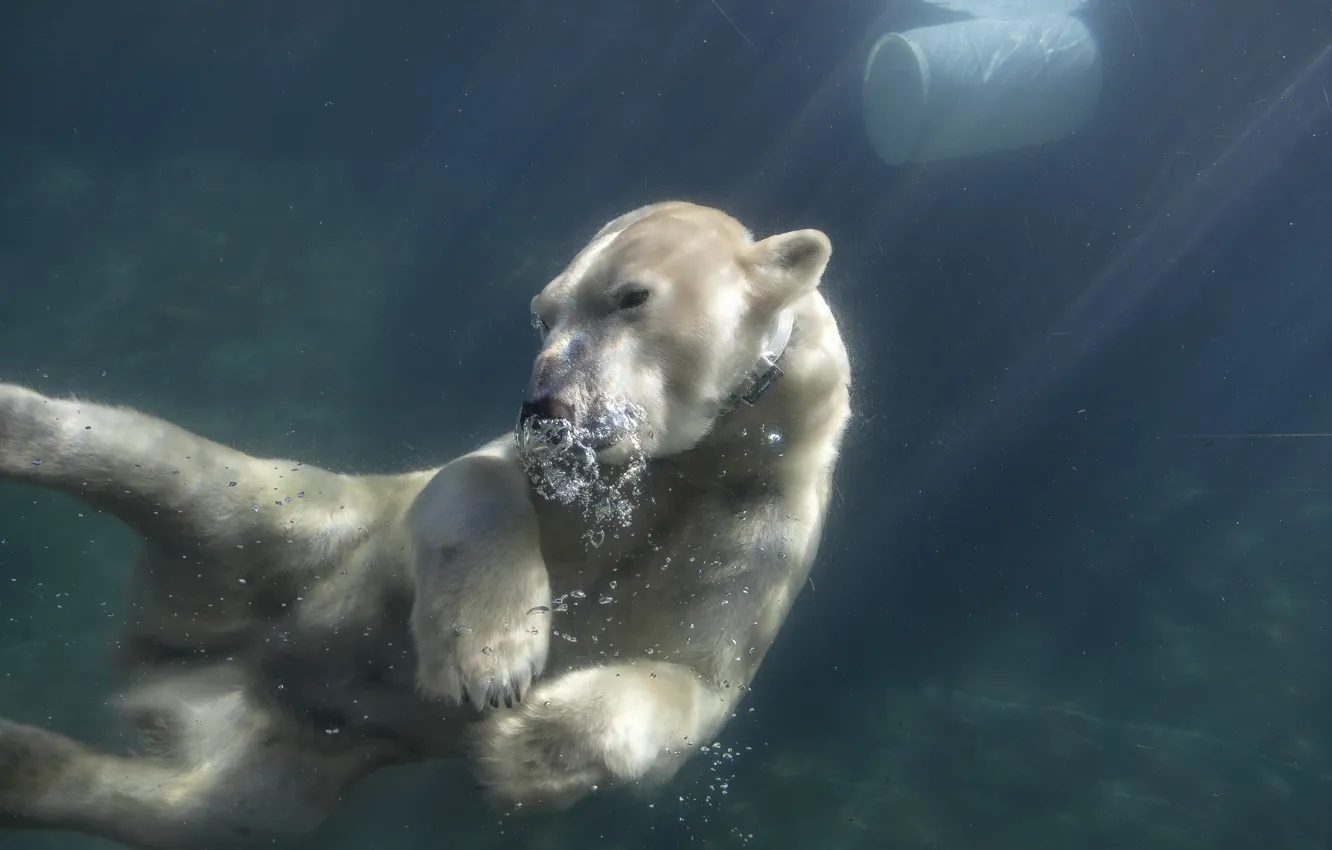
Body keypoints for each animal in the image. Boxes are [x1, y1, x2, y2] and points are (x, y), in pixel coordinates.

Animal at [0, 200, 852, 850]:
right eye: (542, 315)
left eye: (631, 297)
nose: (545, 407)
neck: (689, 471)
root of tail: (173, 655)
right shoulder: (536, 479)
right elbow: (470, 480)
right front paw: (493, 662)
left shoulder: (754, 536)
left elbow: (689, 686)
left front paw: (519, 751)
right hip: (303, 519)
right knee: (162, 463)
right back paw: (20, 422)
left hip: (296, 761)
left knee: (195, 811)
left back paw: (25, 760)